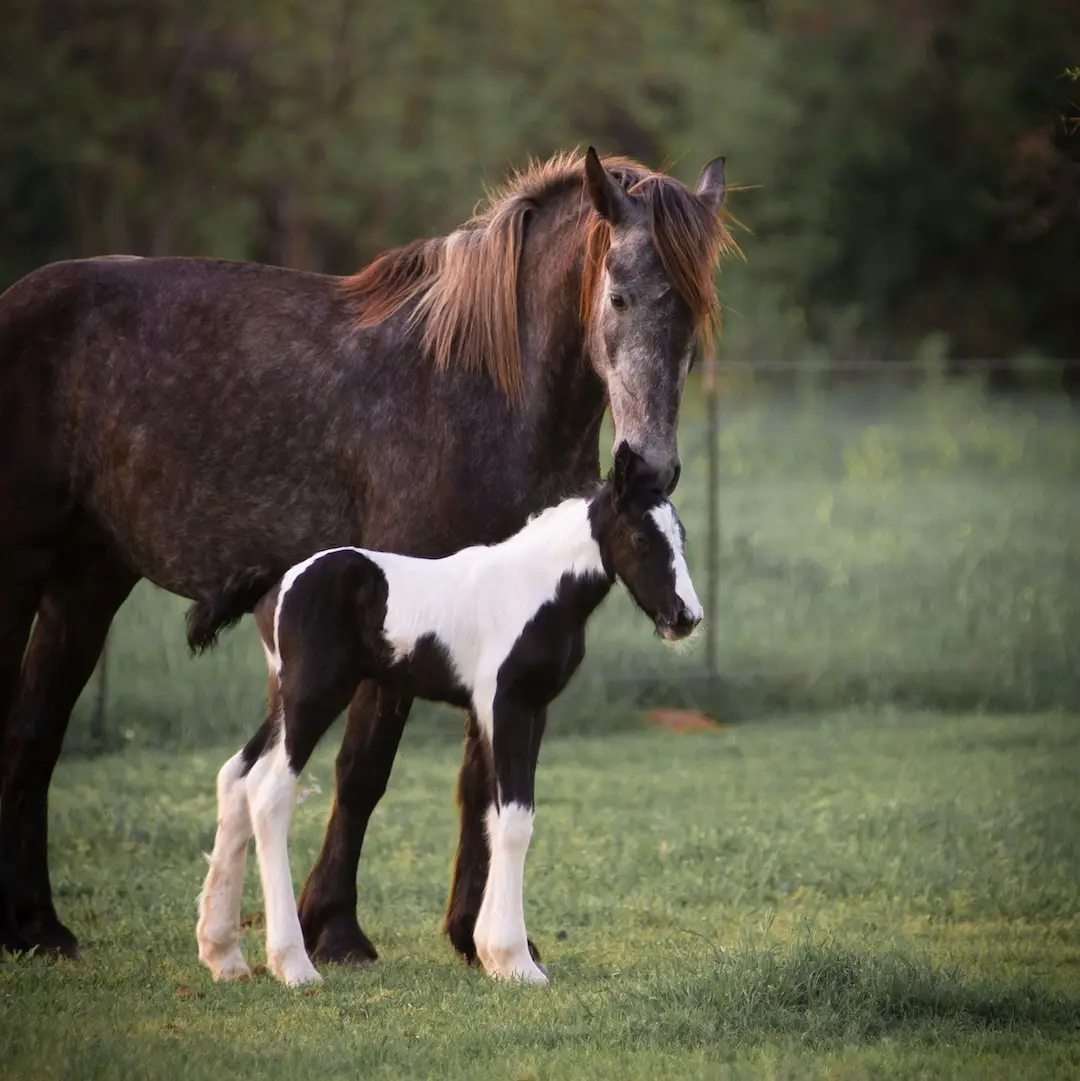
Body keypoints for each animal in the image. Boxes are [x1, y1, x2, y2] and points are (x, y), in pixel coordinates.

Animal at [187, 444, 701, 986]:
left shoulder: (530, 710)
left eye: (681, 536)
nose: (686, 618)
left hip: (283, 701)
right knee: (269, 793)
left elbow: (494, 814)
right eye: (641, 538)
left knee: (235, 777)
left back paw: (223, 955)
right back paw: (293, 965)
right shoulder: (506, 705)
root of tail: (281, 579)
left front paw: (492, 953)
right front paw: (516, 960)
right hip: (313, 697)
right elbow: (515, 820)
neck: (534, 588)